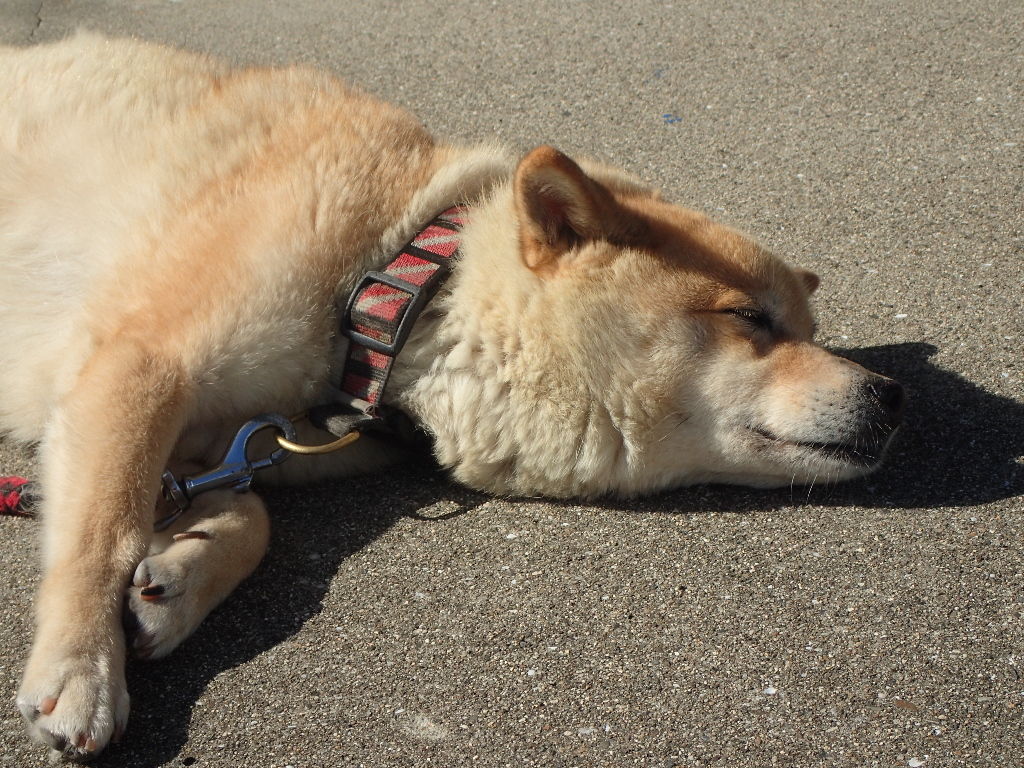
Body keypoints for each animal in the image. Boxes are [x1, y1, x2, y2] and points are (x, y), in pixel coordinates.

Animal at [0, 33, 903, 759]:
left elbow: (246, 515)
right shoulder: (139, 363)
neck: (392, 285)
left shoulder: (242, 436)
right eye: (751, 318)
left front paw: (177, 581)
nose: (892, 396)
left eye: (808, 326)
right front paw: (81, 669)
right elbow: (107, 527)